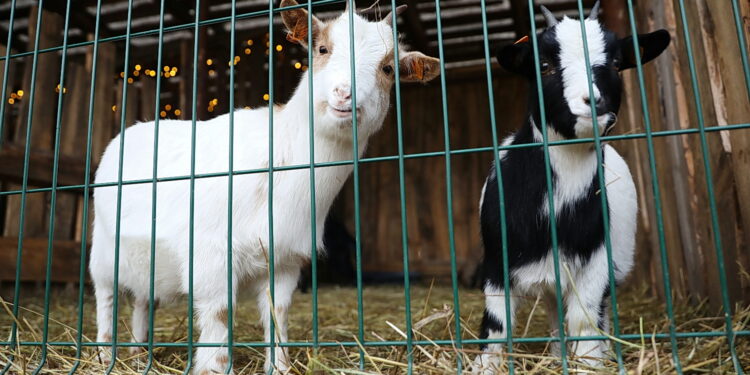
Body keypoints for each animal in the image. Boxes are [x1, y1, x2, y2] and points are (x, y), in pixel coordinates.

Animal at [472, 2, 672, 374]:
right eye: (544, 65)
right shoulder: (495, 262)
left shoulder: (597, 261)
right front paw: (484, 365)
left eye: (616, 63)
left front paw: (590, 362)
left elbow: (584, 322)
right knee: (553, 313)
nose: (591, 102)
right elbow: (497, 324)